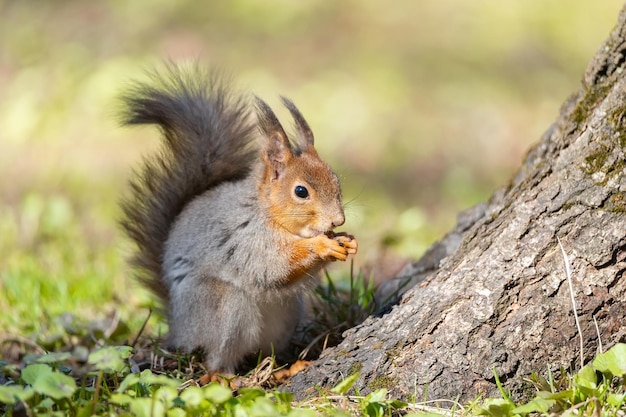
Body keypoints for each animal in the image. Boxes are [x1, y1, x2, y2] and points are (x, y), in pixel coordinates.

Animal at [118, 65, 356, 374]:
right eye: (301, 191)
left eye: (336, 180)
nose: (338, 221)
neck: (266, 213)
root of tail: (178, 329)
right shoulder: (247, 239)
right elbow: (273, 267)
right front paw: (322, 246)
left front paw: (347, 242)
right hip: (223, 309)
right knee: (216, 361)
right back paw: (229, 377)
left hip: (286, 314)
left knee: (266, 353)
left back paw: (288, 368)